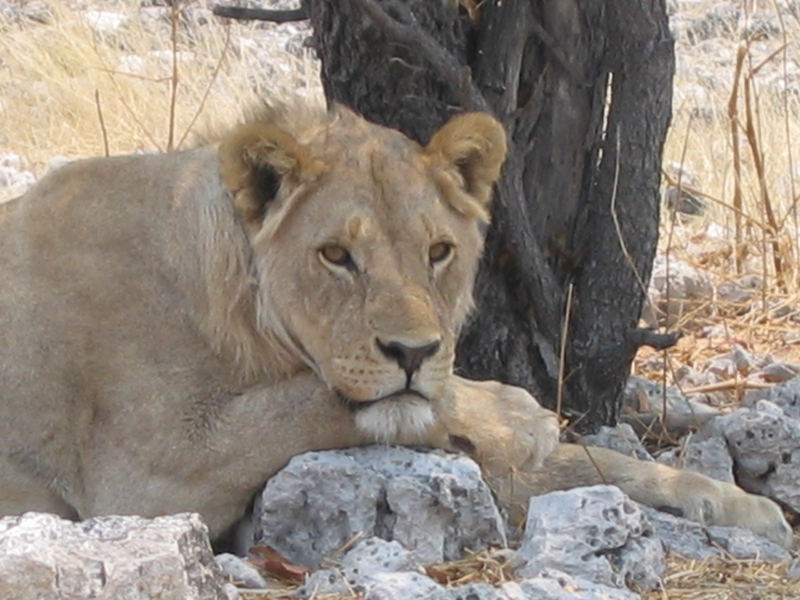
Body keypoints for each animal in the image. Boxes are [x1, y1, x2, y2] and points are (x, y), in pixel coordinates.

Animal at [0, 103, 792, 548]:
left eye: (438, 251)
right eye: (336, 256)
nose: (412, 351)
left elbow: (591, 464)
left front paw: (736, 504)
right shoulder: (143, 478)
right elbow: (311, 404)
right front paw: (515, 412)